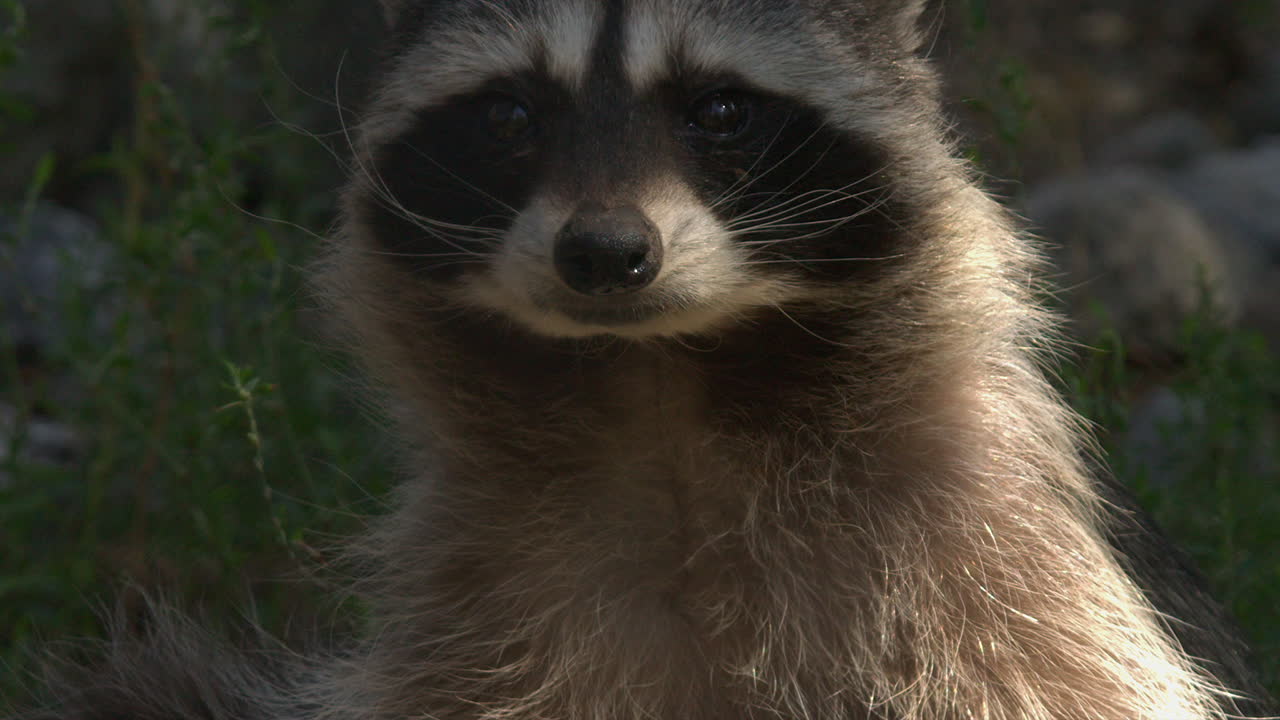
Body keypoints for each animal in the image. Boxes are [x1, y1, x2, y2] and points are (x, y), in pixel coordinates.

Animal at [19, 1, 1272, 719]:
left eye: (719, 108)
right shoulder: (478, 600)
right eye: (511, 113)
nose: (605, 253)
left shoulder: (995, 557)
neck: (661, 383)